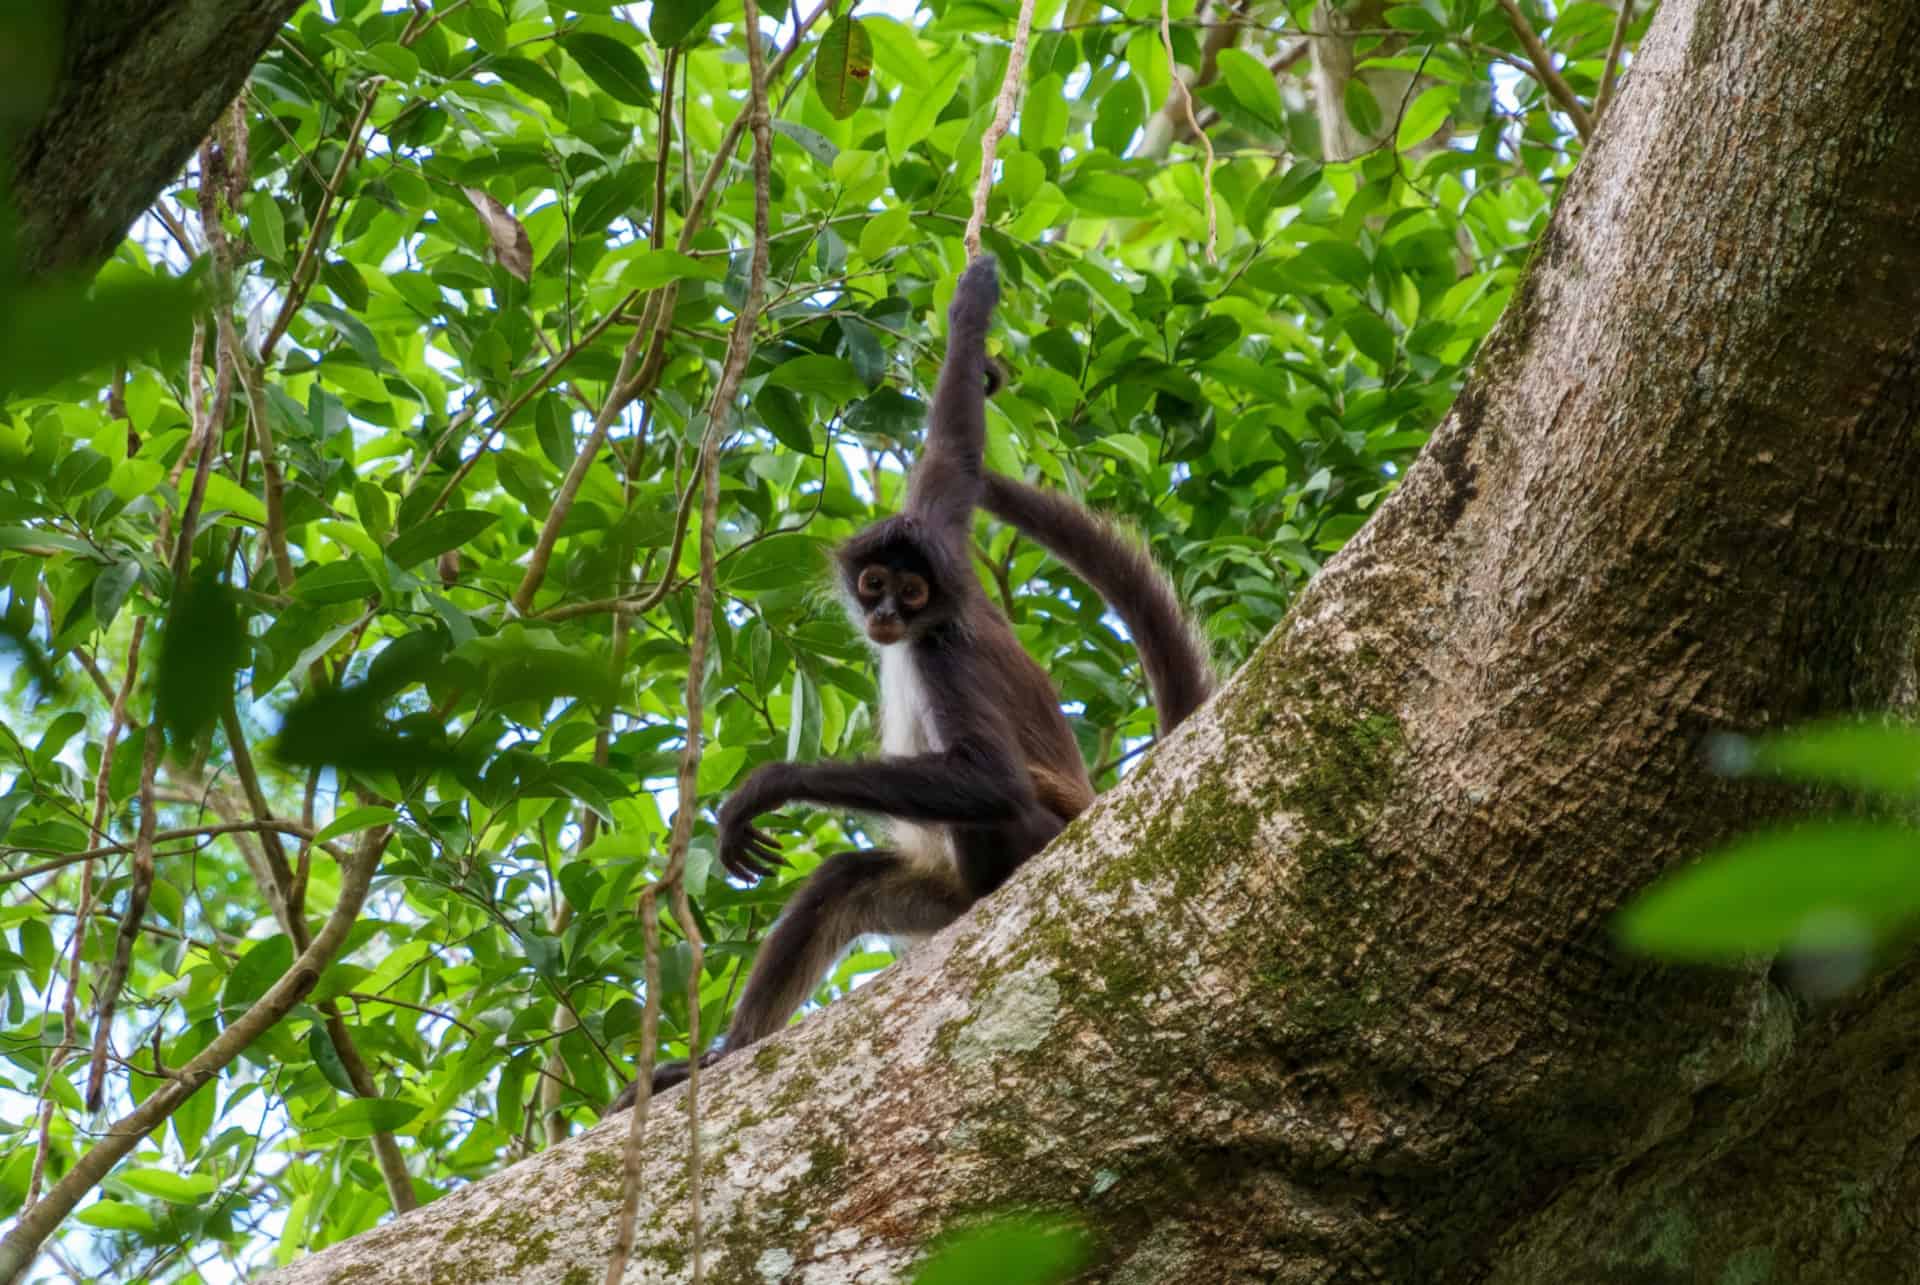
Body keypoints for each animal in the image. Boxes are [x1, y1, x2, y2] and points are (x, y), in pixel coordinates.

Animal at [610, 257, 1213, 1106]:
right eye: (873, 582)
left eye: (914, 593)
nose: (888, 611)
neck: (930, 622)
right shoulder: (941, 522)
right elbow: (954, 449)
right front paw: (971, 315)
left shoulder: (944, 648)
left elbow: (990, 777)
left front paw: (769, 784)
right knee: (844, 878)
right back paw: (725, 1058)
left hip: (1030, 847)